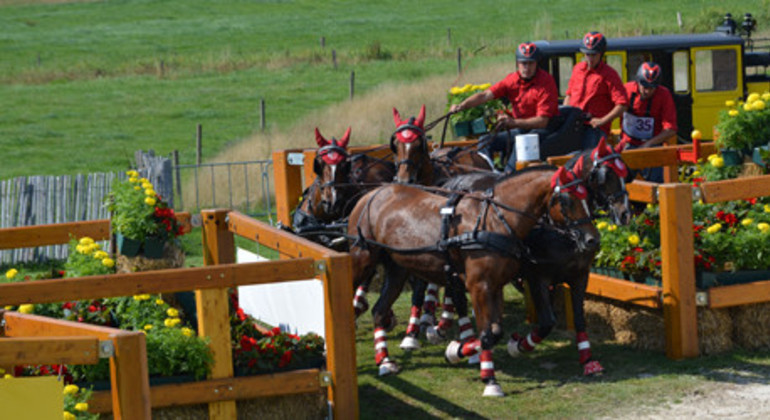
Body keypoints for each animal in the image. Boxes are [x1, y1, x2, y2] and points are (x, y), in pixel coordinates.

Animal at [346, 165, 592, 398]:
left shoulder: (495, 286)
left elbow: (495, 331)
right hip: (361, 258)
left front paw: (457, 351)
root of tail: (372, 194)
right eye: (567, 199)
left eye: (588, 195)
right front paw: (489, 379)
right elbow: (486, 333)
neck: (494, 221)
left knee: (379, 311)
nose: (592, 239)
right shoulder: (479, 286)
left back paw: (384, 360)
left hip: (397, 268)